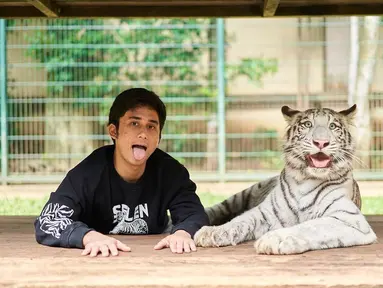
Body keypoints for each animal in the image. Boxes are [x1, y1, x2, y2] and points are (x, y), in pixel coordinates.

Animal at [195, 103, 378, 254]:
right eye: (308, 124)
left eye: (332, 126)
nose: (321, 142)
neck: (305, 180)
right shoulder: (265, 212)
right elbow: (239, 220)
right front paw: (212, 232)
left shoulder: (348, 218)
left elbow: (310, 226)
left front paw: (274, 239)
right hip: (242, 195)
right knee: (218, 208)